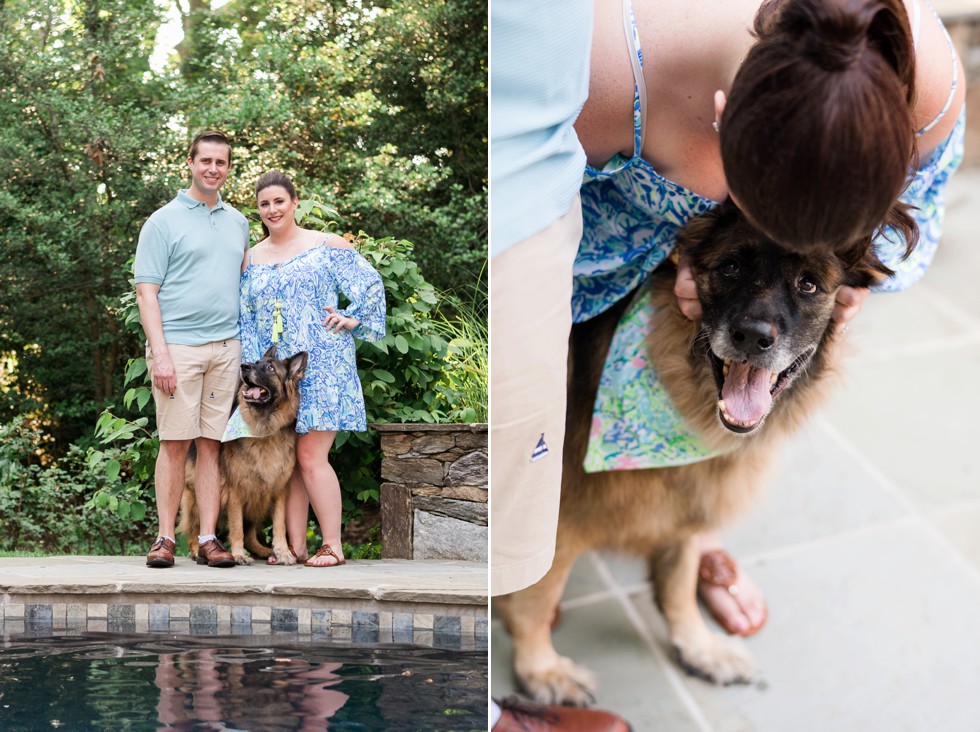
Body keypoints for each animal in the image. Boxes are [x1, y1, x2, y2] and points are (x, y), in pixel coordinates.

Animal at [179, 348, 306, 568]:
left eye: (270, 367)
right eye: (256, 361)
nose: (244, 366)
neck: (264, 428)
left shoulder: (279, 489)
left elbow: (279, 525)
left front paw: (282, 552)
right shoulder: (236, 491)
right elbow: (236, 526)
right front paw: (238, 555)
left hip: (258, 500)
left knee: (250, 534)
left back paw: (263, 550)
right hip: (195, 496)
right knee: (195, 527)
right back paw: (197, 551)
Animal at [502, 199, 884, 704]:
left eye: (809, 284)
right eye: (730, 267)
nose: (752, 337)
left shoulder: (688, 497)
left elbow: (679, 582)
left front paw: (697, 646)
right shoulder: (556, 522)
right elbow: (536, 596)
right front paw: (541, 669)